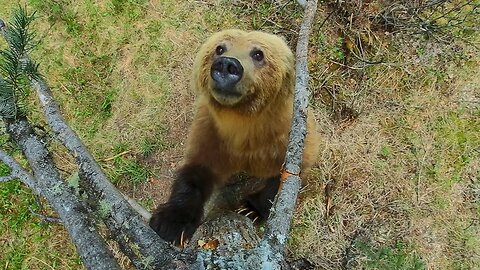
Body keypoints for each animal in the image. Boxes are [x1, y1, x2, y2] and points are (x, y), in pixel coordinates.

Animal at [149, 29, 322, 245]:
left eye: (258, 53)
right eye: (219, 48)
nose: (226, 65)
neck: (243, 129)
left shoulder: (284, 139)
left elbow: (284, 177)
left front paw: (250, 209)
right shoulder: (212, 135)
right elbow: (196, 173)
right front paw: (170, 222)